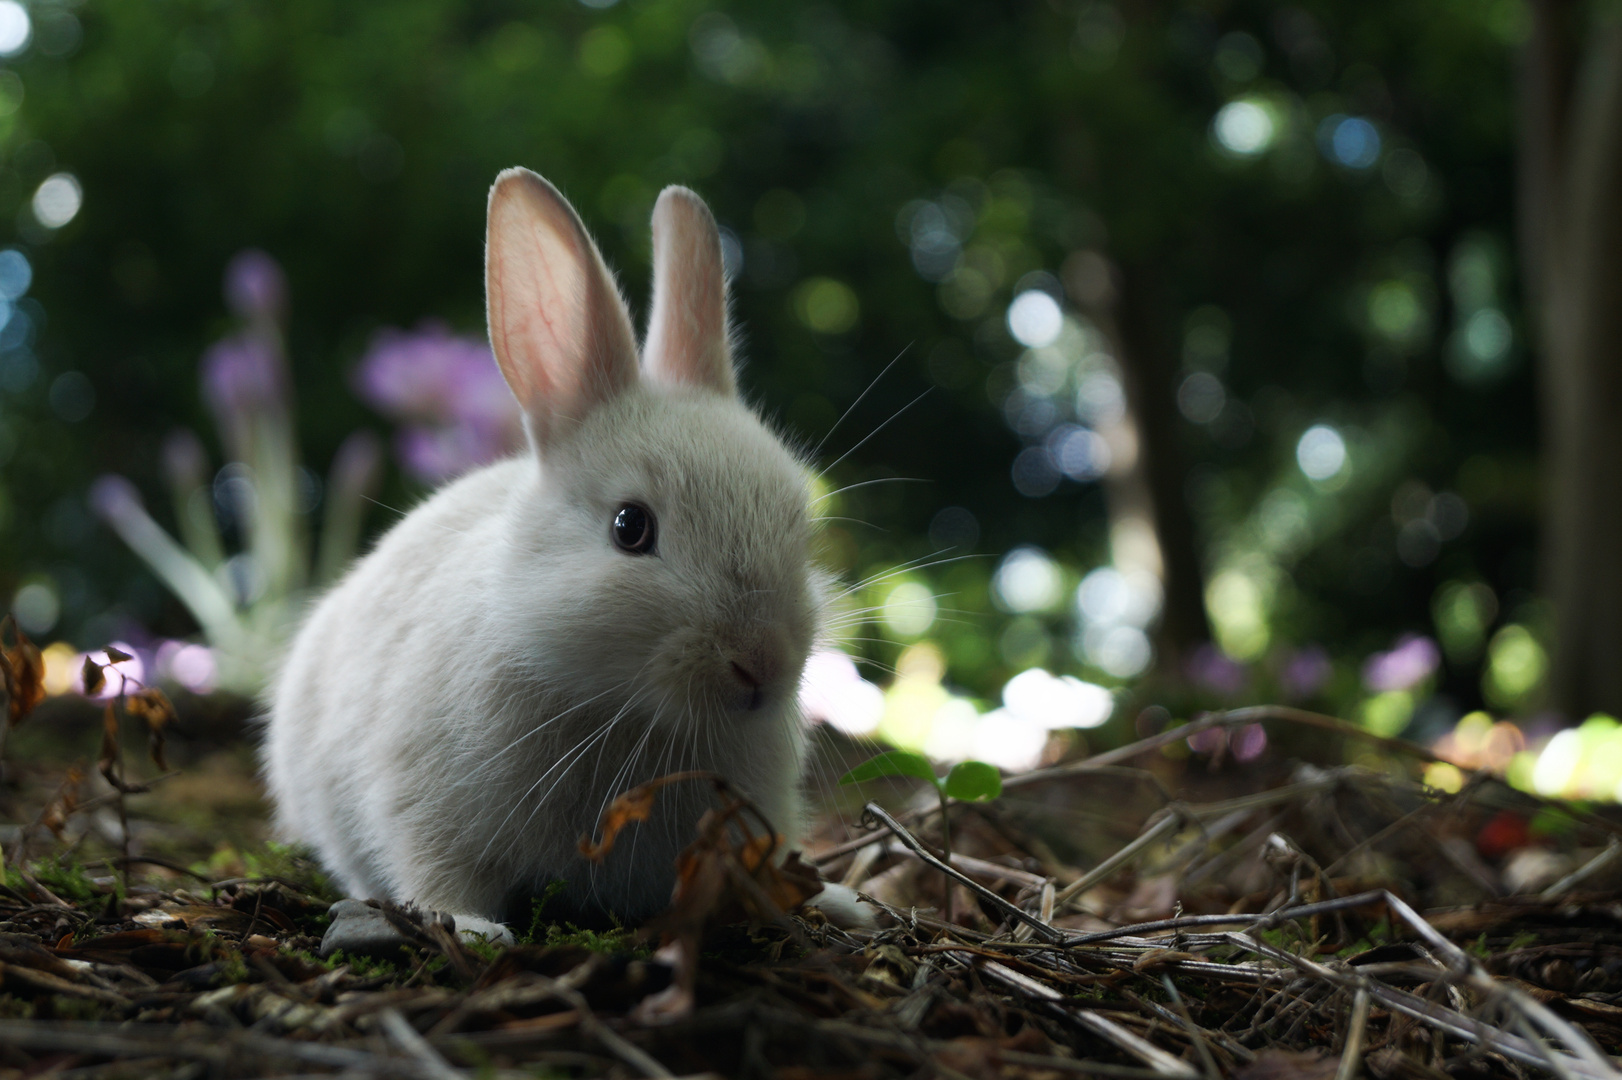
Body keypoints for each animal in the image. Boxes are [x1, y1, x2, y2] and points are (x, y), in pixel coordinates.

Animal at [262, 166, 875, 934]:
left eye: (798, 524)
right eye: (630, 527)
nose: (762, 664)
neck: (624, 711)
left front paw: (840, 903)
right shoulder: (423, 800)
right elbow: (437, 872)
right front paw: (472, 927)